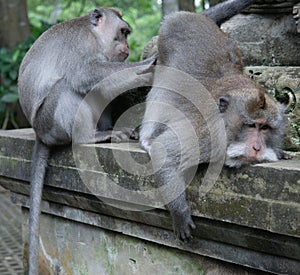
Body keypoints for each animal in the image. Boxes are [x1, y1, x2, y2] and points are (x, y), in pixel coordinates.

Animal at [18, 7, 156, 275]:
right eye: (122, 32)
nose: (127, 46)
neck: (93, 35)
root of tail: (38, 133)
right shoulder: (81, 46)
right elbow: (85, 75)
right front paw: (148, 66)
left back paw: (107, 129)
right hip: (50, 123)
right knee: (67, 86)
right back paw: (91, 137)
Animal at [139, 0, 290, 242]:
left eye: (265, 127)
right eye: (251, 125)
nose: (257, 148)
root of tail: (190, 15)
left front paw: (280, 152)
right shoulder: (205, 136)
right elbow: (165, 151)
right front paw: (179, 212)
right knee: (161, 94)